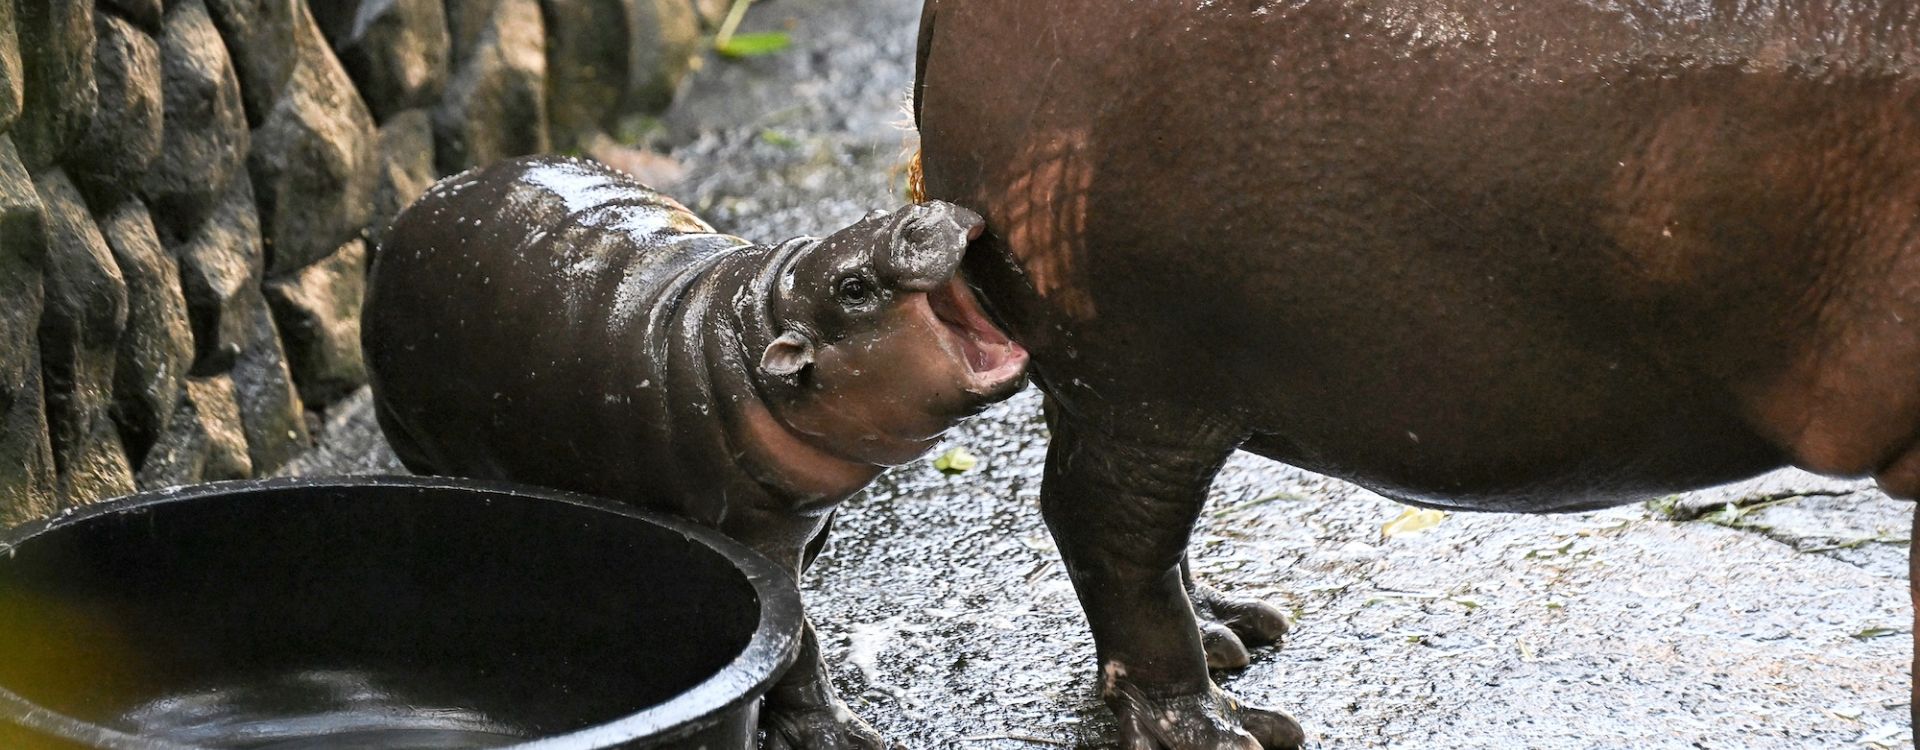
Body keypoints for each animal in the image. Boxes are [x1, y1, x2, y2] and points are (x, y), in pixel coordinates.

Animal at [361, 155, 1028, 748]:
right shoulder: (756, 535)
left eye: (869, 214)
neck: (760, 319)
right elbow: (798, 640)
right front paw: (847, 736)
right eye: (853, 287)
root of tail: (403, 220)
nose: (924, 212)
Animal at [913, 0, 1919, 747]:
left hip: (1126, 383)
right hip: (1144, 376)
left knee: (1132, 530)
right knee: (1108, 531)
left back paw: (1237, 632)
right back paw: (1224, 726)